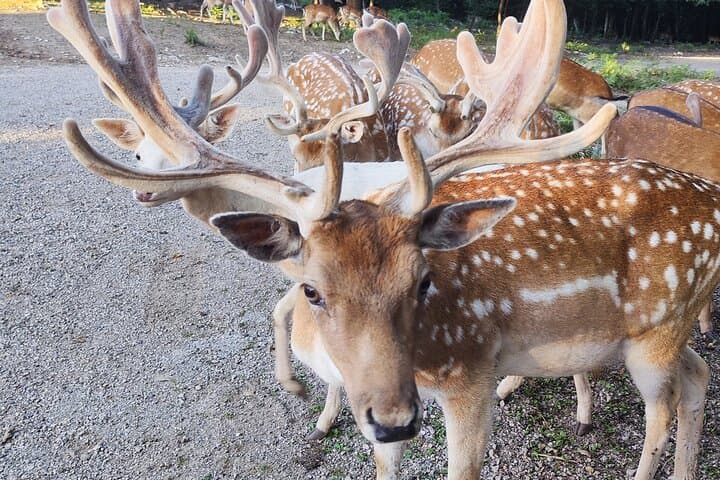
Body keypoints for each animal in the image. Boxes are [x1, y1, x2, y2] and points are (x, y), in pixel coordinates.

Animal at [63, 1, 720, 480]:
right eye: (315, 290)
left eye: (424, 280)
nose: (396, 419)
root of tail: (712, 198)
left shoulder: (468, 372)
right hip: (658, 331)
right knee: (697, 376)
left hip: (657, 329)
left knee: (663, 408)